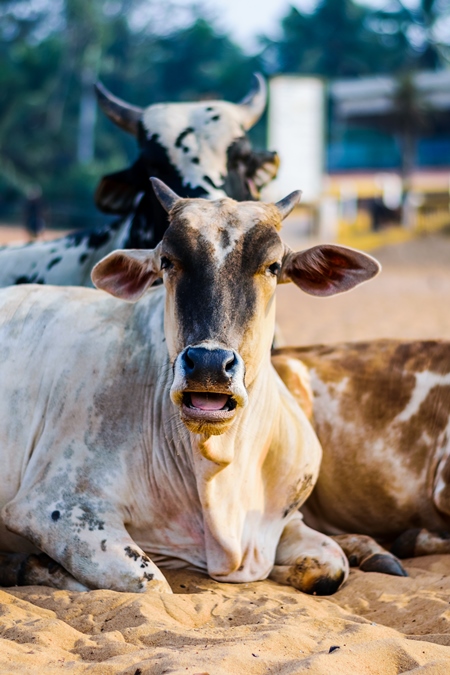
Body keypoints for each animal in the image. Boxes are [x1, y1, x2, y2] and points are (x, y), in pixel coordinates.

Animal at [0, 181, 380, 596]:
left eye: (274, 266)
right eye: (167, 261)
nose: (209, 363)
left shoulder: (285, 521)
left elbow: (332, 567)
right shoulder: (54, 508)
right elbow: (152, 584)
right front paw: (37, 567)